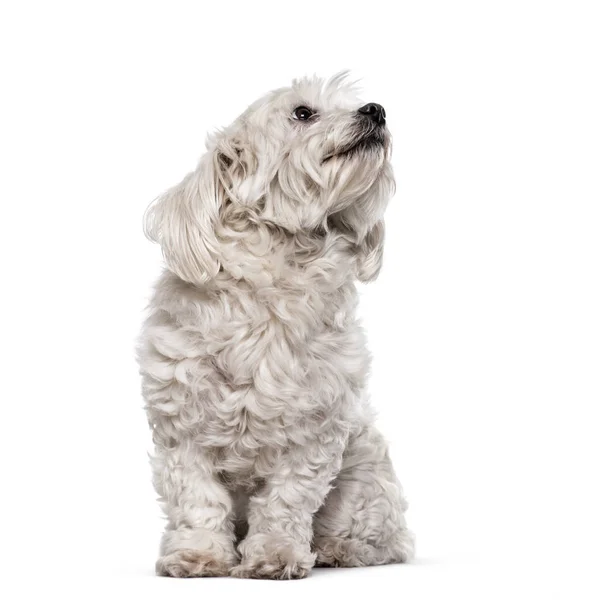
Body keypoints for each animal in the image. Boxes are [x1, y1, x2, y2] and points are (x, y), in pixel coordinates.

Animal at [139, 72, 416, 580]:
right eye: (302, 113)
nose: (376, 110)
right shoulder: (182, 428)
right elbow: (198, 500)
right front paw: (199, 555)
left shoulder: (314, 432)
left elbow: (286, 501)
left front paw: (275, 555)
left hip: (364, 476)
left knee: (385, 539)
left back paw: (336, 549)